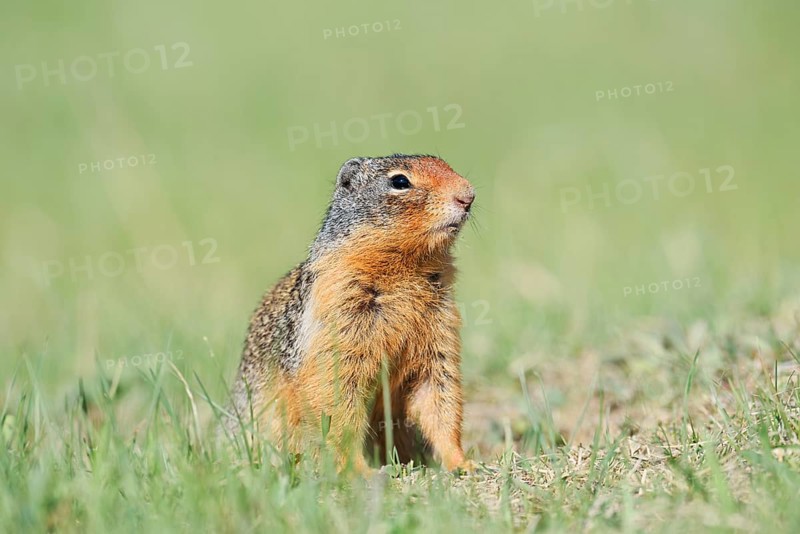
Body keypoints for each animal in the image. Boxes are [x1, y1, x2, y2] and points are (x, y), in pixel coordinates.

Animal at [224, 154, 476, 474]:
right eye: (400, 181)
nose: (468, 196)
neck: (406, 266)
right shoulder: (339, 323)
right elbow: (337, 400)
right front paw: (360, 471)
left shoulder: (439, 335)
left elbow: (439, 396)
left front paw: (463, 463)